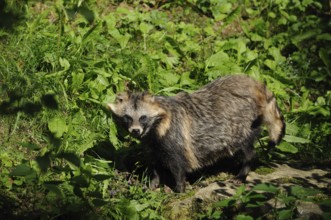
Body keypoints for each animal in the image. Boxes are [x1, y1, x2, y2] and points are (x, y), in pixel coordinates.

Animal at [108, 75, 286, 192]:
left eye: (143, 117)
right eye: (128, 117)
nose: (135, 130)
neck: (153, 130)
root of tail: (256, 84)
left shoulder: (174, 137)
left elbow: (178, 165)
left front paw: (179, 188)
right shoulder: (152, 145)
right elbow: (155, 165)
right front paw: (154, 183)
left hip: (244, 123)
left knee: (246, 149)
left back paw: (243, 172)